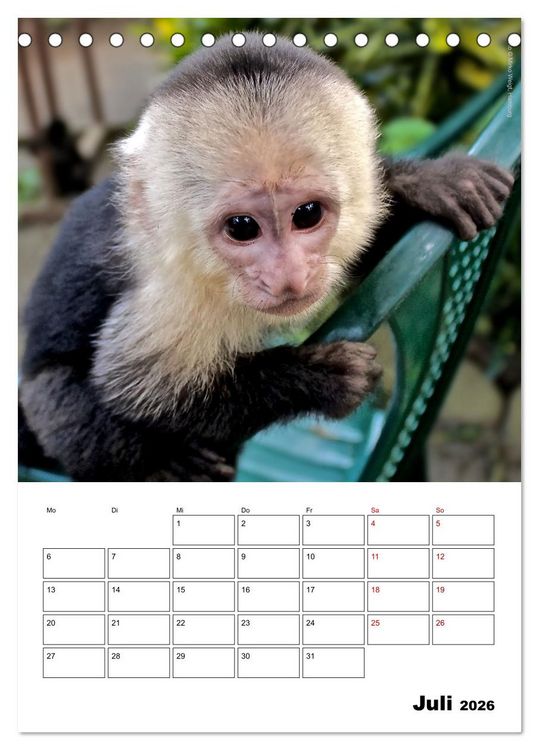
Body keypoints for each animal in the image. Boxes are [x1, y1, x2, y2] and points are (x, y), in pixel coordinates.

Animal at [18, 32, 514, 481]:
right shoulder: (172, 290)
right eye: (242, 228)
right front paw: (316, 381)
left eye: (307, 214)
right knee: (51, 396)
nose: (288, 278)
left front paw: (427, 184)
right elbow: (140, 389)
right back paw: (164, 465)